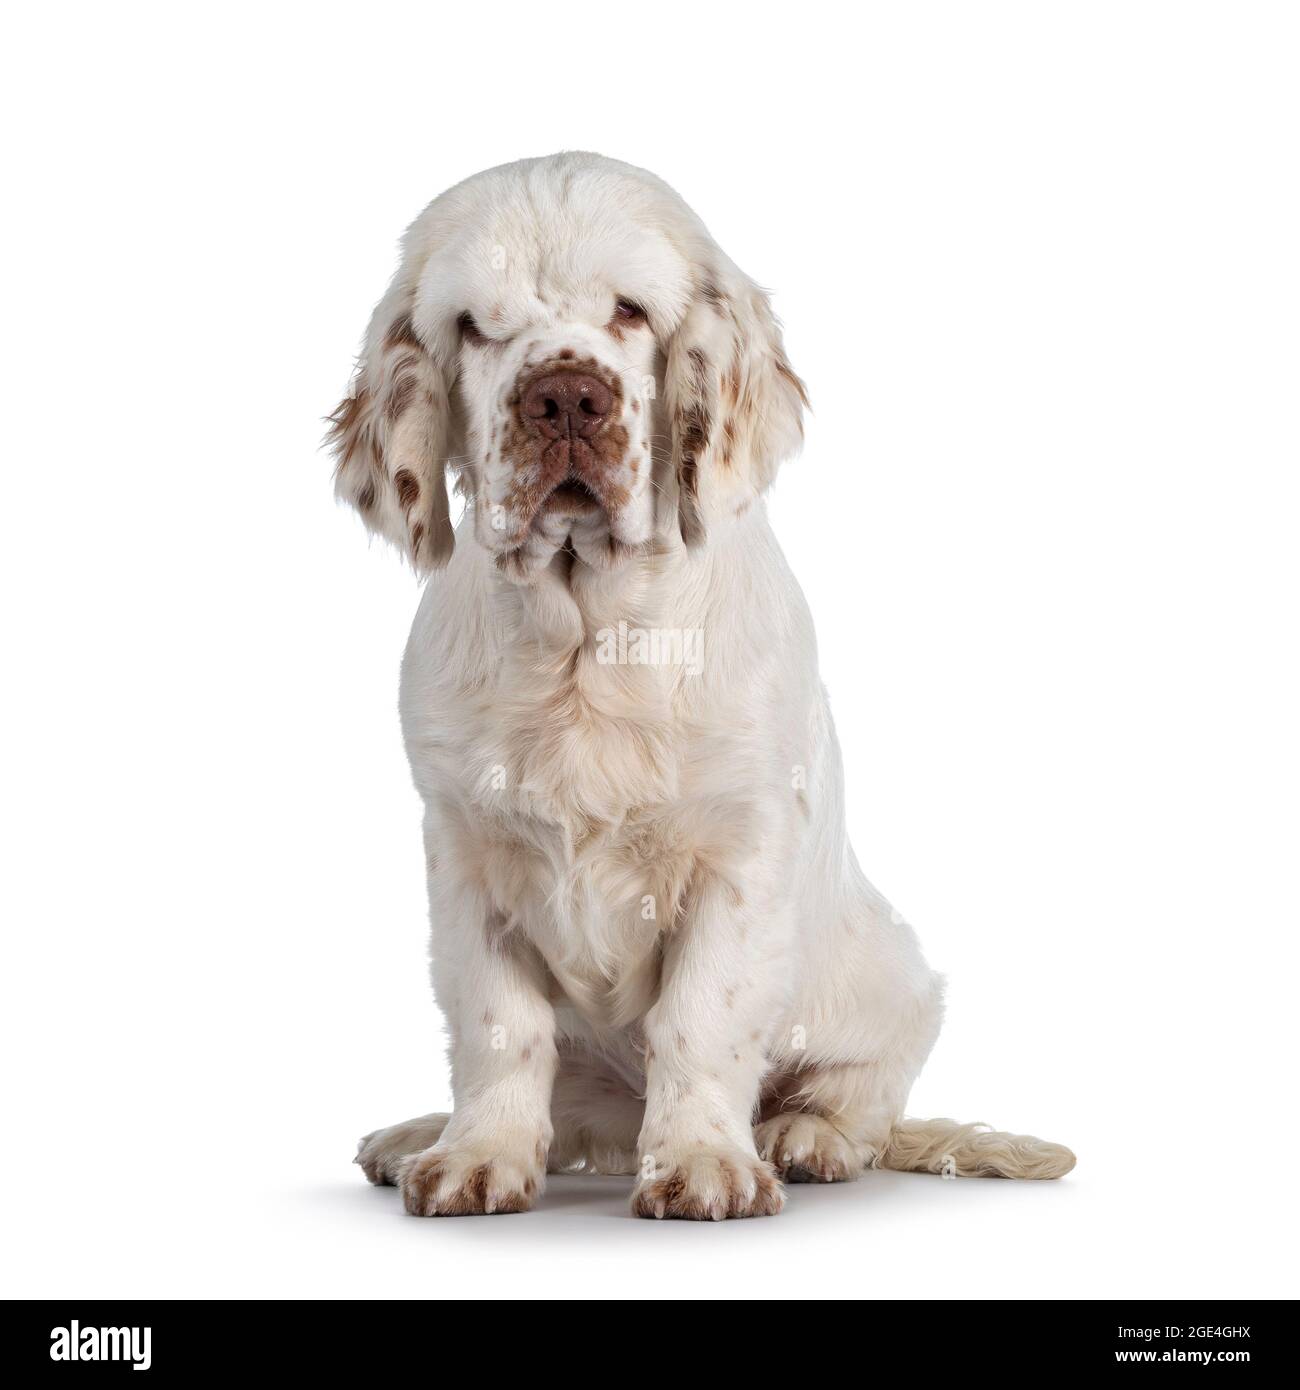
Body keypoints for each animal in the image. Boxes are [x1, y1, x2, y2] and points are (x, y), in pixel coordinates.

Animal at [337, 149, 1078, 1217]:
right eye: (476, 327)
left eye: (631, 312)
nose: (565, 399)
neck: (586, 639)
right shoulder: (467, 851)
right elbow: (496, 1023)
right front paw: (478, 1156)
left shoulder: (740, 850)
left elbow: (701, 1016)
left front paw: (701, 1164)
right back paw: (418, 1136)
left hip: (894, 978)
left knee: (867, 1098)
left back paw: (803, 1136)